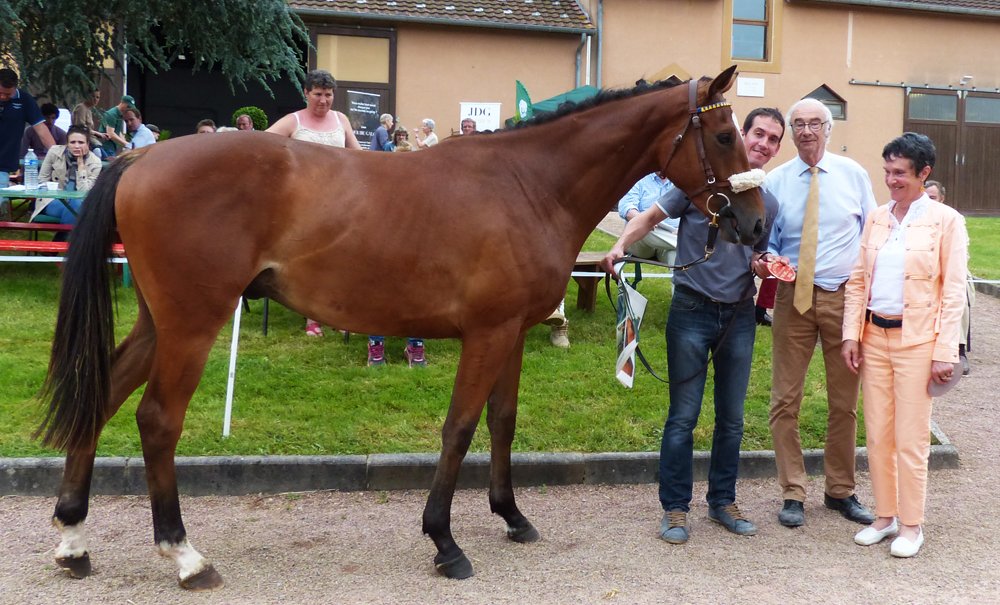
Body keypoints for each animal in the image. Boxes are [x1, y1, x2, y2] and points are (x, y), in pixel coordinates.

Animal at [38, 65, 764, 589]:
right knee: (157, 419)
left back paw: (73, 539)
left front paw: (512, 515)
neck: (529, 183)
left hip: (159, 322)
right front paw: (444, 540)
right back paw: (185, 555)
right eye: (726, 138)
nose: (757, 226)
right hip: (192, 322)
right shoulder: (488, 333)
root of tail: (140, 160)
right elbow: (461, 428)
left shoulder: (512, 333)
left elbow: (503, 420)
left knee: (103, 397)